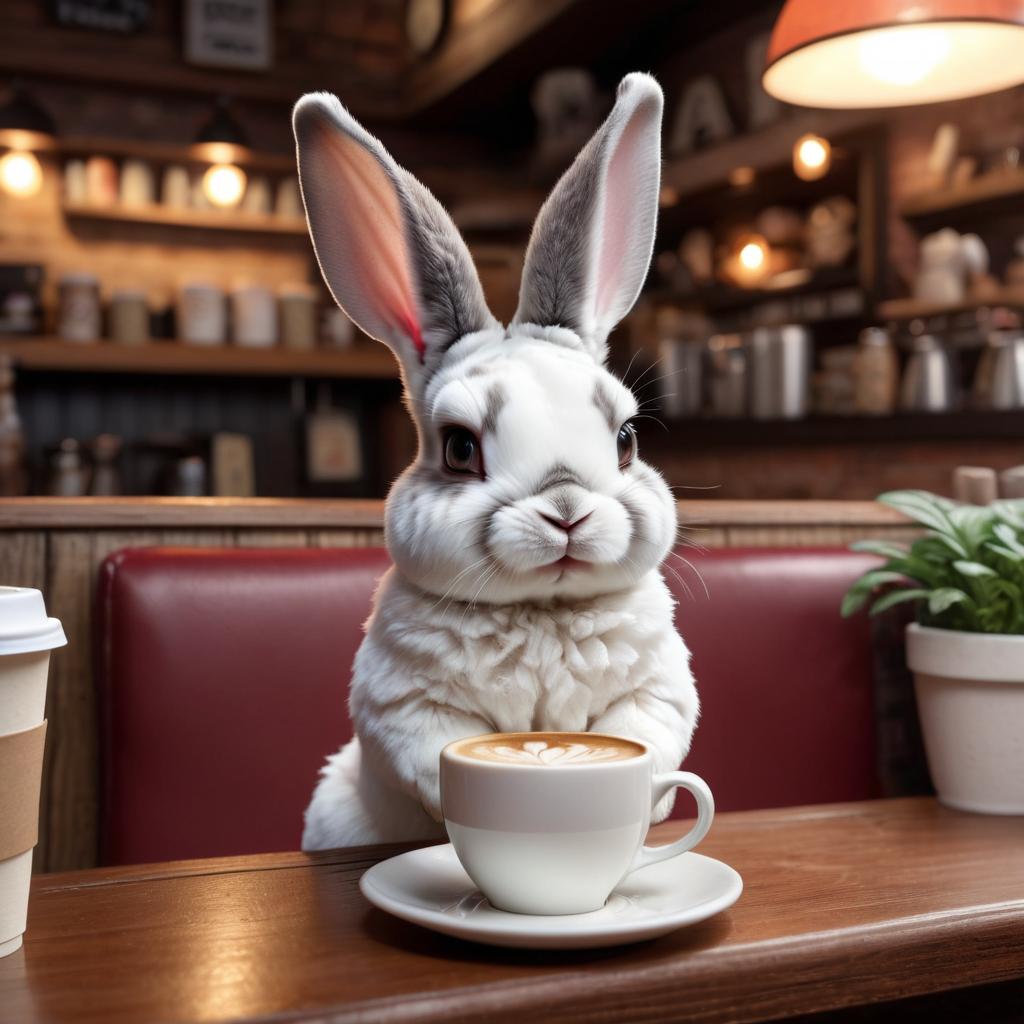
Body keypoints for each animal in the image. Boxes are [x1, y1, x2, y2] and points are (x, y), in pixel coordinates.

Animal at [292, 68, 700, 843]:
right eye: (459, 448)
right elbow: (435, 755)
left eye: (625, 440)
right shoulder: (403, 707)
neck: (542, 610)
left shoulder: (659, 690)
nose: (567, 511)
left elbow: (648, 734)